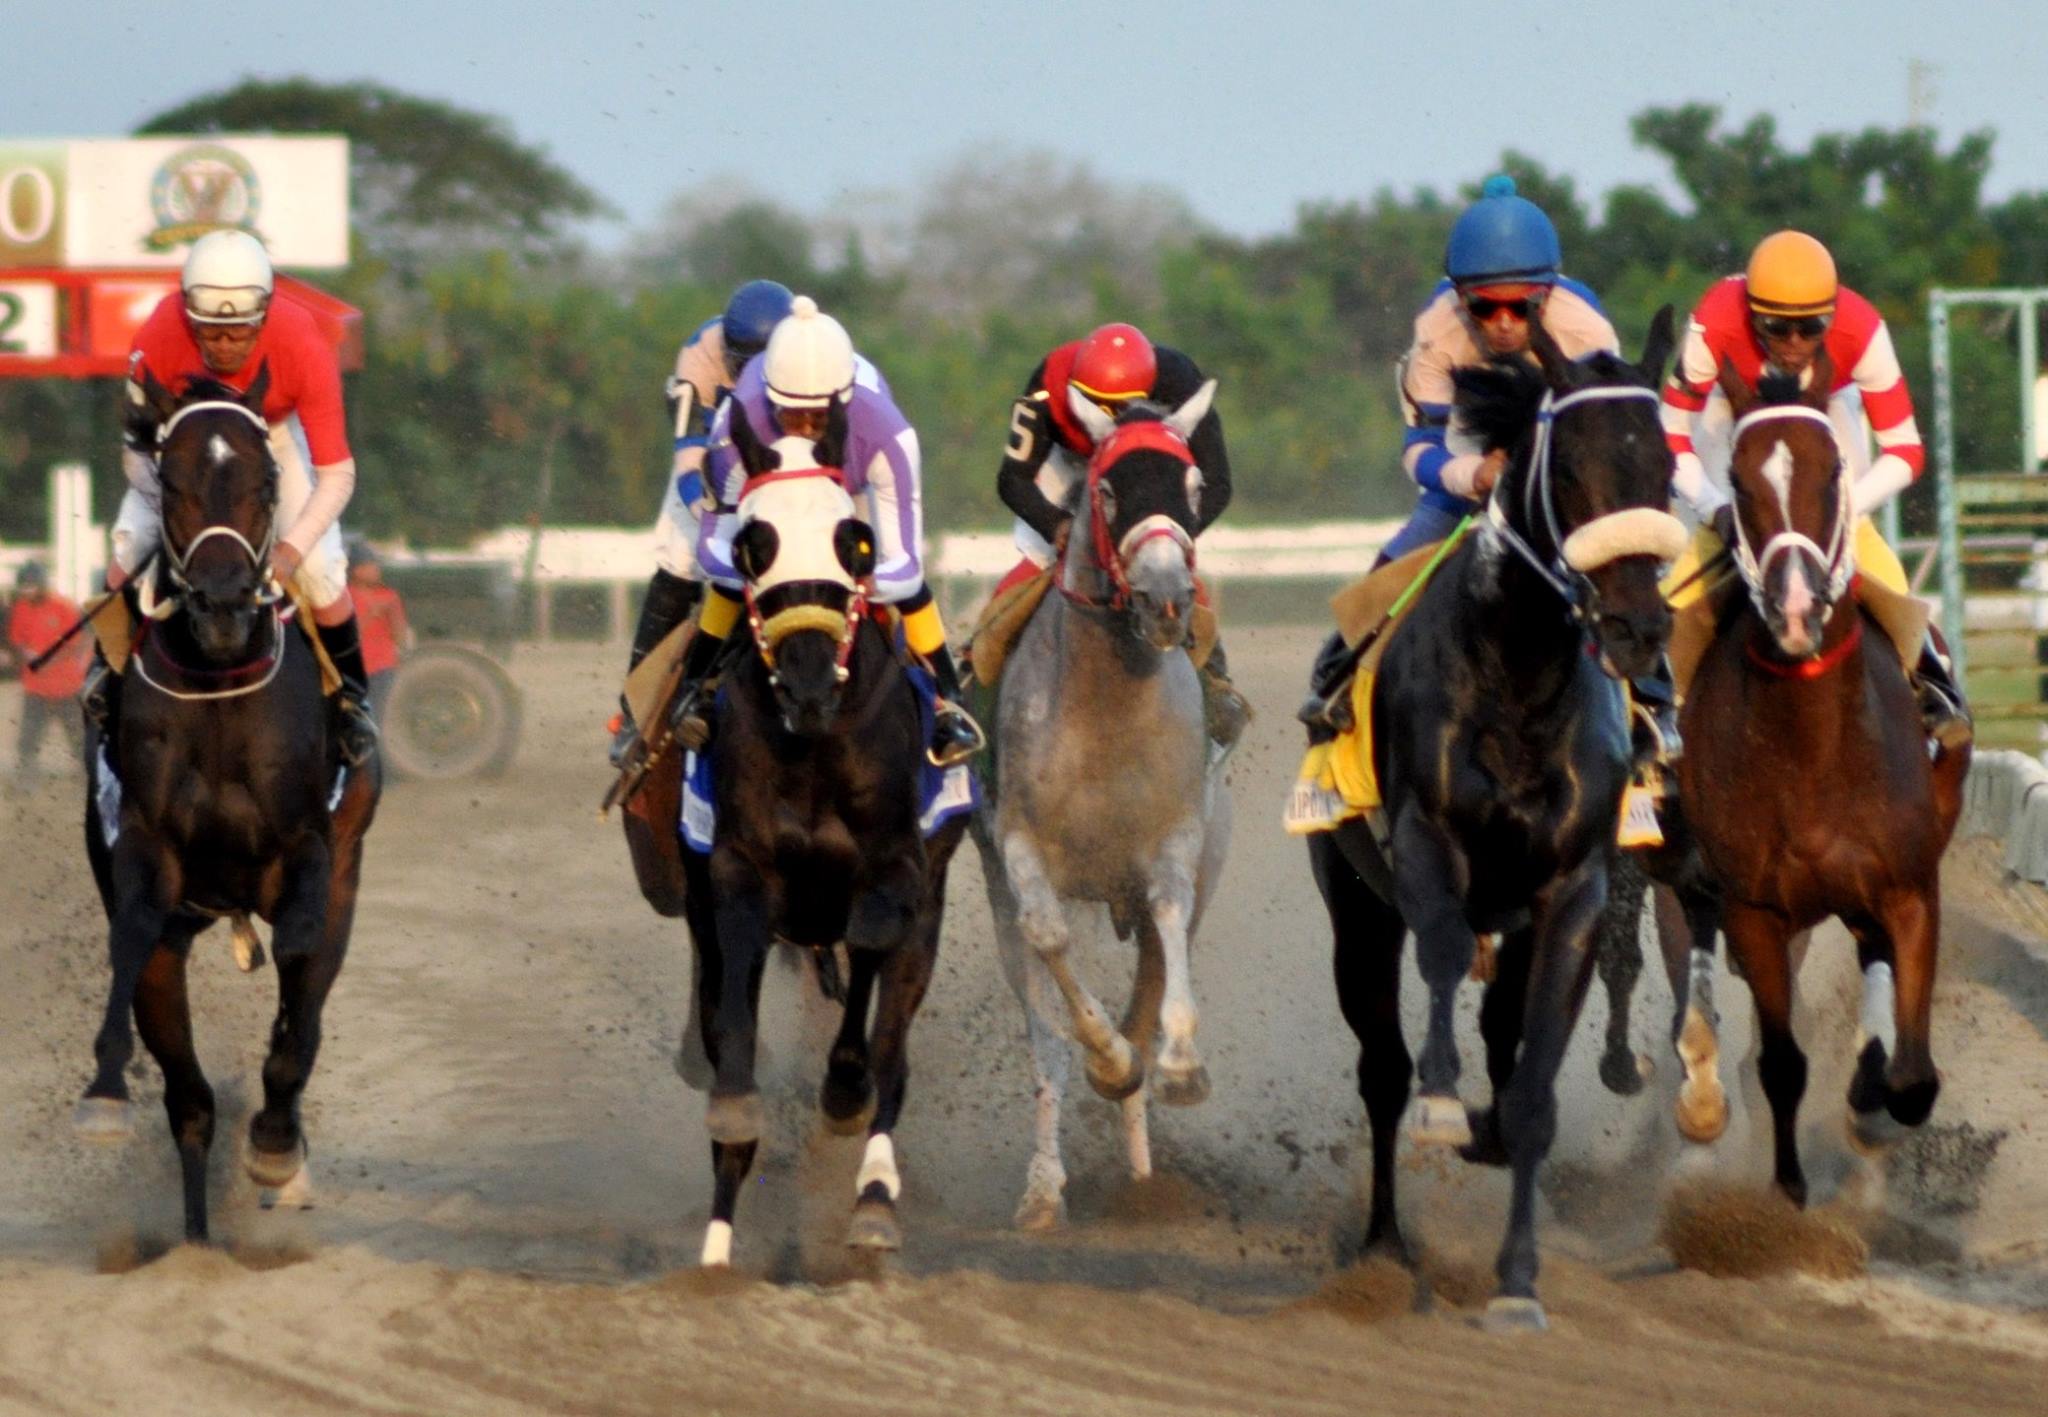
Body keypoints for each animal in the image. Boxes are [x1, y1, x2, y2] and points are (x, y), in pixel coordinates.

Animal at [72, 369, 380, 1243]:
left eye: (266, 482)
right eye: (170, 479)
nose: (219, 605)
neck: (218, 687)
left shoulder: (309, 852)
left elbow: (300, 973)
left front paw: (276, 1141)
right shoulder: (143, 848)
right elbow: (132, 942)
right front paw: (105, 1090)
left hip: (347, 861)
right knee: (190, 1099)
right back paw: (198, 1238)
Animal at [679, 398, 967, 1266]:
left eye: (856, 540)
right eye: (753, 541)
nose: (806, 682)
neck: (813, 739)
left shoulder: (899, 868)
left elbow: (870, 941)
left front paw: (843, 1089)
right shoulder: (737, 868)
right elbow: (737, 998)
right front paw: (737, 1113)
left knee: (894, 1052)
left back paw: (873, 1197)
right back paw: (715, 1253)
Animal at [971, 380, 1232, 1229]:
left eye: (1191, 485)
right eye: (1110, 489)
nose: (1167, 599)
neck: (1107, 702)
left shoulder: (1174, 844)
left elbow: (1169, 928)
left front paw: (1180, 1065)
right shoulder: (1018, 846)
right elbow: (1051, 941)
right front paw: (1107, 1060)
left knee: (1148, 987)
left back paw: (1145, 1177)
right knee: (1046, 1031)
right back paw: (1047, 1183)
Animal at [1307, 311, 1686, 1330]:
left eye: (1664, 466)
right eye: (1572, 469)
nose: (1637, 629)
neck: (1521, 676)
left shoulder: (1574, 890)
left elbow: (1532, 1090)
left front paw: (1518, 1281)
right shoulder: (1424, 842)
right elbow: (1439, 955)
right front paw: (1446, 1106)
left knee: (1502, 1034)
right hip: (1355, 907)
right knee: (1381, 1065)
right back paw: (1385, 1245)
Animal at [1666, 356, 1970, 1204]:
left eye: (1833, 472)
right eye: (1738, 481)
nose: (1797, 606)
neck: (1811, 748)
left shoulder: (1909, 886)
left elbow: (1913, 1077)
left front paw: (1875, 1102)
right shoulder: (1755, 907)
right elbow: (1779, 1060)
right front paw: (1783, 1197)